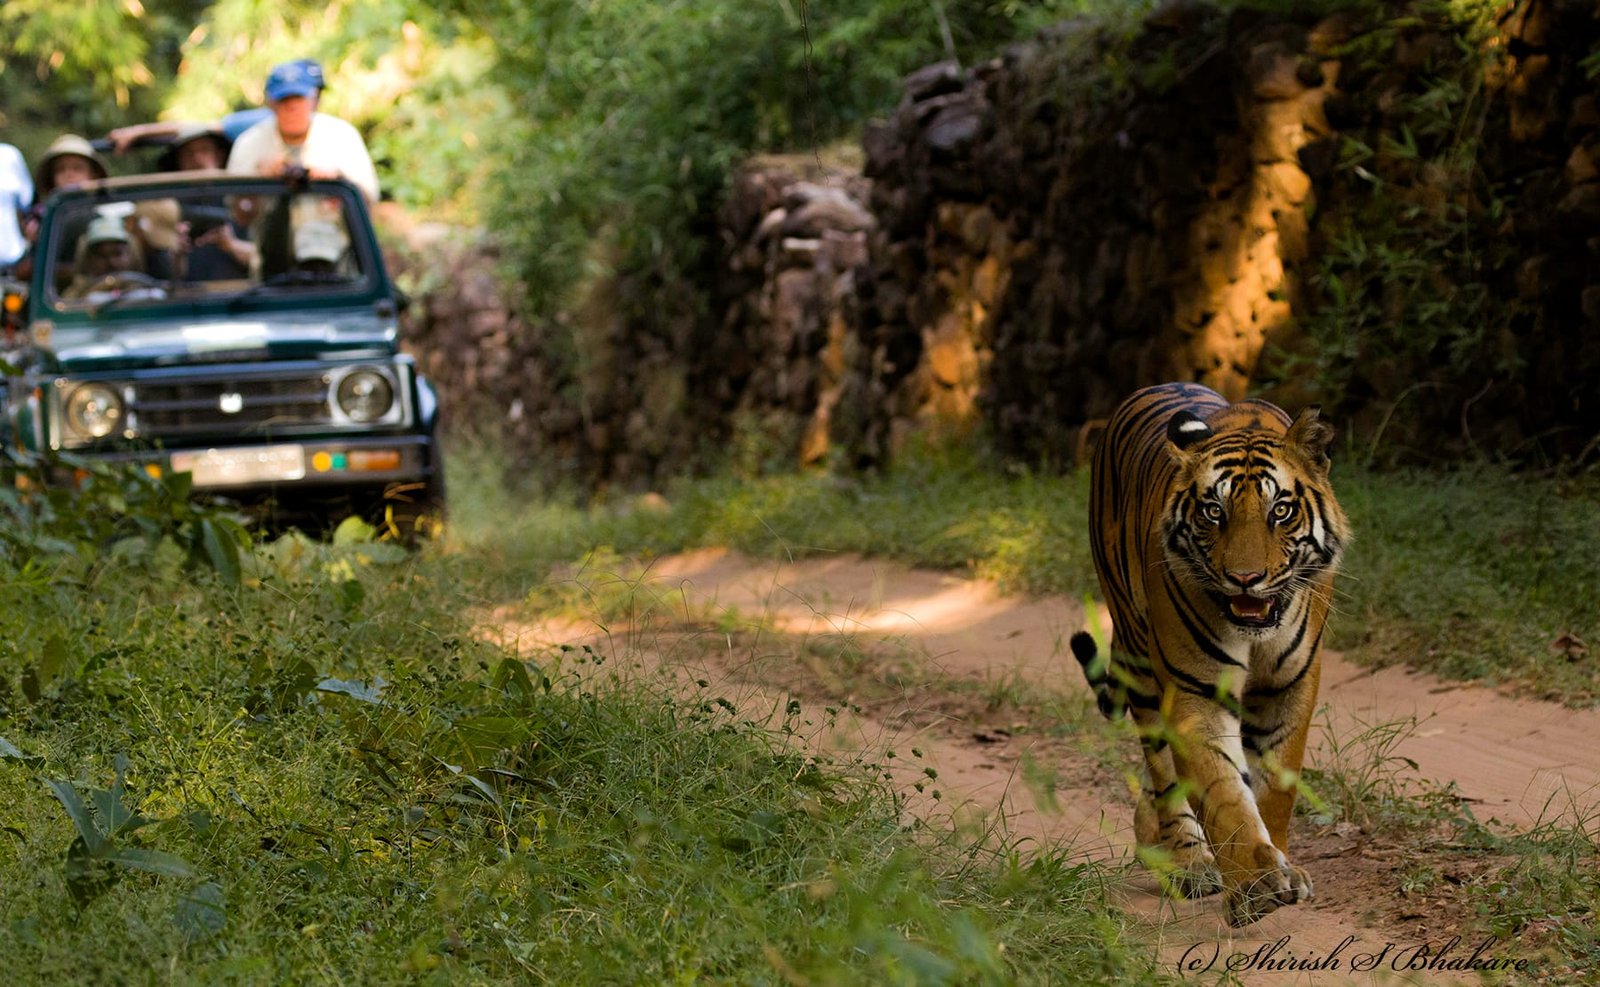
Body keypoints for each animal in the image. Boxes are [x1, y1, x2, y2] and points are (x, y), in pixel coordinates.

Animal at [1070, 381, 1349, 927]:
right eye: (1213, 512)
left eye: (1280, 510)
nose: (1245, 578)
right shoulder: (1195, 690)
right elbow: (1223, 793)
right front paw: (1256, 884)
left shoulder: (1290, 687)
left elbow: (1274, 790)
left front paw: (1283, 866)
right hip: (1139, 660)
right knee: (1162, 772)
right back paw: (1188, 862)